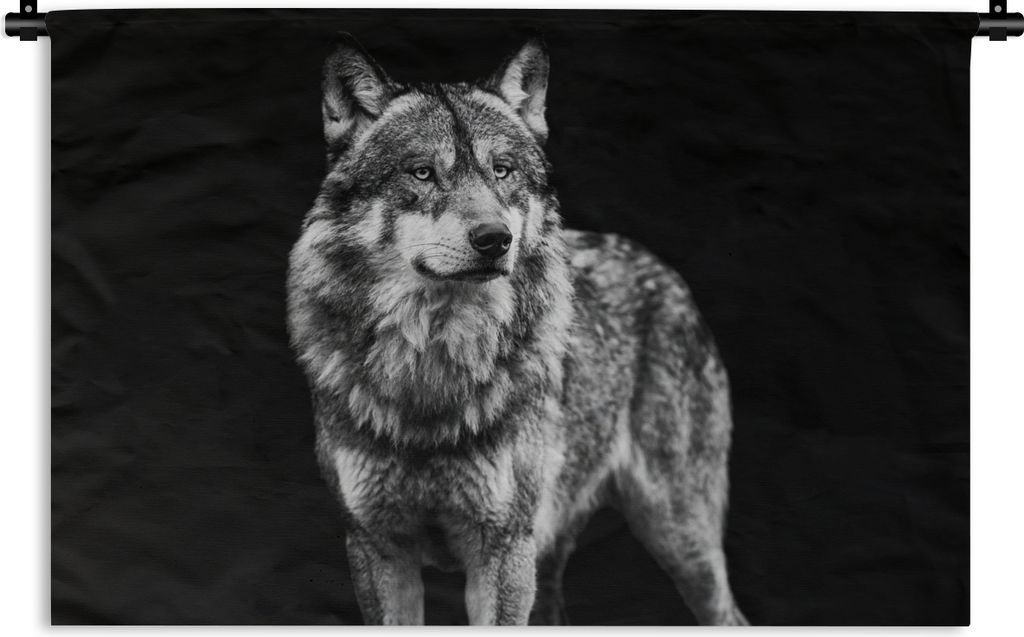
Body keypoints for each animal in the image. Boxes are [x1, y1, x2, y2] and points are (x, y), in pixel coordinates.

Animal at [286, 37, 747, 626]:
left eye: (502, 171)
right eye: (422, 173)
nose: (494, 239)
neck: (433, 368)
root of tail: (662, 269)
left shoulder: (502, 548)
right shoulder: (375, 547)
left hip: (677, 536)